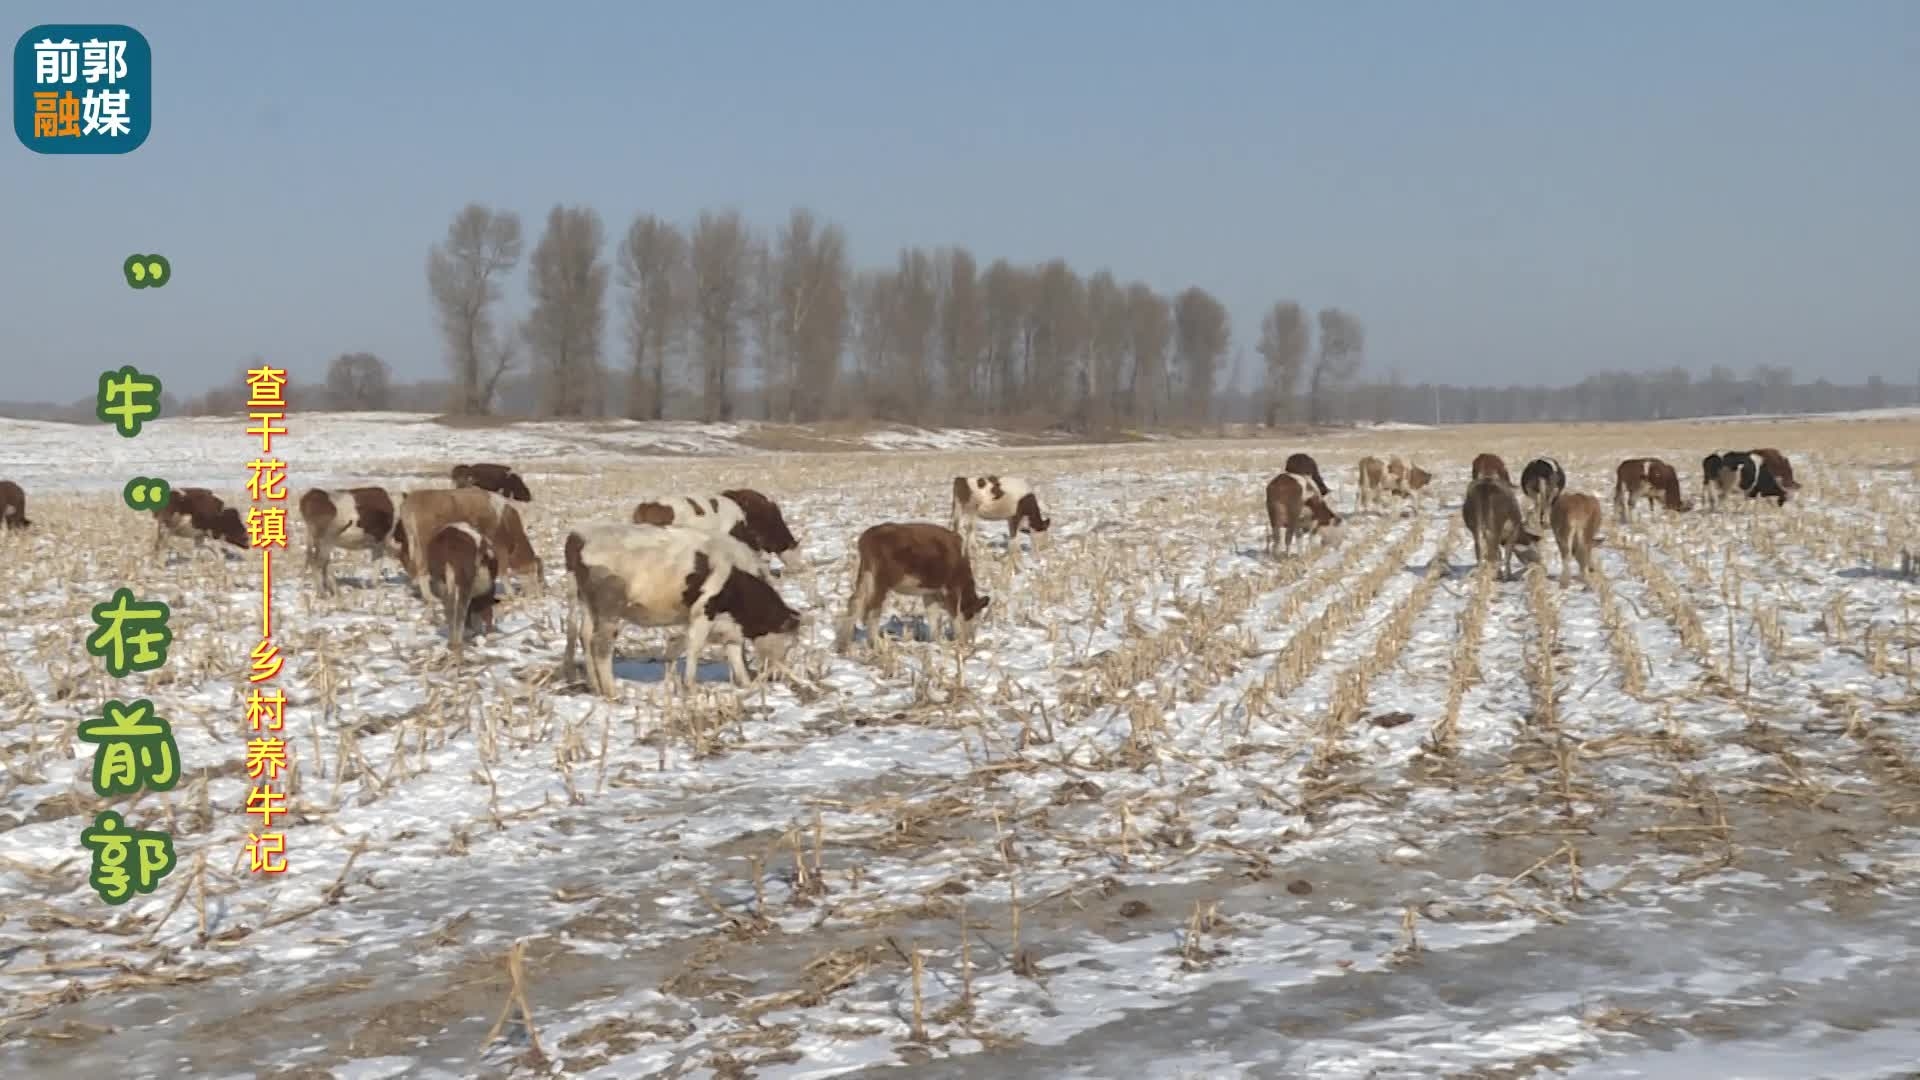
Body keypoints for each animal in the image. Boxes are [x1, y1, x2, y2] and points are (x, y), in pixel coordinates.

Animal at [389, 484, 541, 591]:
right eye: (533, 571)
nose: (536, 593)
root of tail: (410, 503)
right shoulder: (498, 545)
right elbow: (503, 570)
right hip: (423, 542)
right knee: (421, 567)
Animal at [426, 518, 503, 657]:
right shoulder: (488, 590)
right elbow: (487, 612)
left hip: (441, 580)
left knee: (450, 607)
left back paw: (453, 643)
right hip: (464, 581)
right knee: (461, 608)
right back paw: (458, 642)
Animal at [560, 518, 798, 691]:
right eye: (788, 645)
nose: (776, 676)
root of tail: (580, 535)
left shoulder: (729, 625)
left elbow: (733, 653)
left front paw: (746, 684)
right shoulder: (704, 611)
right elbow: (694, 647)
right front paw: (690, 686)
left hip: (587, 604)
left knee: (585, 636)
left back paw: (595, 686)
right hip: (609, 609)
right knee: (600, 645)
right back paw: (612, 692)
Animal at [837, 518, 990, 653]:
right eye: (973, 616)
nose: (971, 639)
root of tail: (869, 535)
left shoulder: (930, 591)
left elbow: (934, 616)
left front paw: (936, 642)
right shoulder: (951, 588)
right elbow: (955, 615)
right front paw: (960, 643)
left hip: (866, 575)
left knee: (855, 602)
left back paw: (843, 646)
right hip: (881, 580)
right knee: (873, 609)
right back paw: (875, 645)